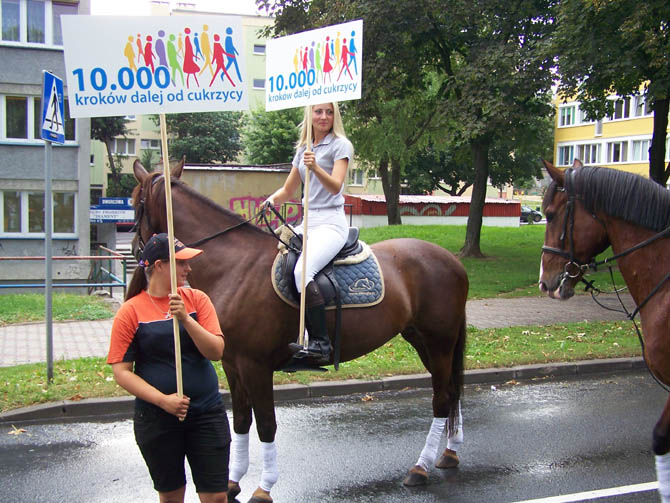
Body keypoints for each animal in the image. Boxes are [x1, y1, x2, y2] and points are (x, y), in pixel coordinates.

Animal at [130, 160, 468, 500]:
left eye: (136, 203)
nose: (135, 250)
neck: (234, 266)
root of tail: (453, 262)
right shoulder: (232, 364)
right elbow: (240, 422)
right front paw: (232, 482)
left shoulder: (255, 366)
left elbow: (266, 425)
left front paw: (264, 488)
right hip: (423, 341)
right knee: (451, 391)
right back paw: (450, 453)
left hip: (438, 343)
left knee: (441, 398)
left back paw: (421, 467)